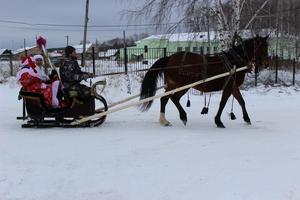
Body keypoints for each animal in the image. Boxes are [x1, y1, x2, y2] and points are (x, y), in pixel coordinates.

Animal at [141, 35, 270, 127]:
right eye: (262, 48)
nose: (267, 64)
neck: (234, 62)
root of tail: (169, 58)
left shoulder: (233, 87)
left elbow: (241, 101)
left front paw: (247, 119)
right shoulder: (228, 87)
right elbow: (222, 103)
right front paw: (218, 121)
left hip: (174, 85)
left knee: (166, 99)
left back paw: (166, 120)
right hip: (182, 85)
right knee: (172, 98)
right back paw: (180, 117)